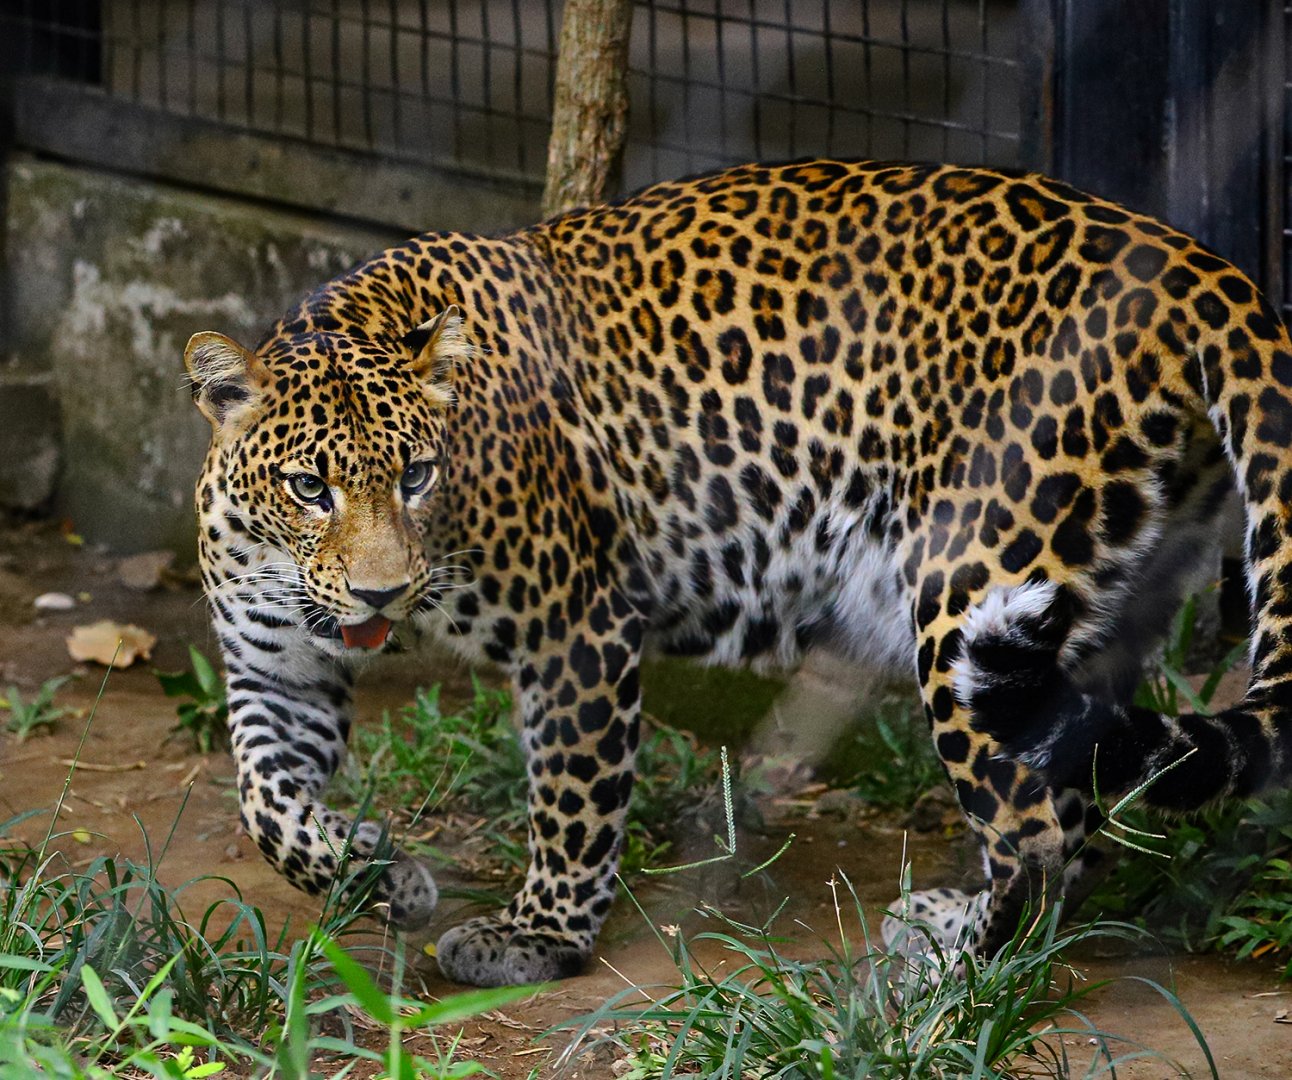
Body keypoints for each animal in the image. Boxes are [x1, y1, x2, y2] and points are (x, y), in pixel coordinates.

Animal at [184, 157, 1292, 988]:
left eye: (415, 474)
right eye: (310, 487)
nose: (380, 593)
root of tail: (1196, 263)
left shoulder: (577, 627)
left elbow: (572, 796)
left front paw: (538, 938)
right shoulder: (274, 663)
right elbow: (263, 802)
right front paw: (375, 873)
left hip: (969, 589)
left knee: (1035, 828)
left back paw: (960, 965)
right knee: (1082, 800)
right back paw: (970, 922)